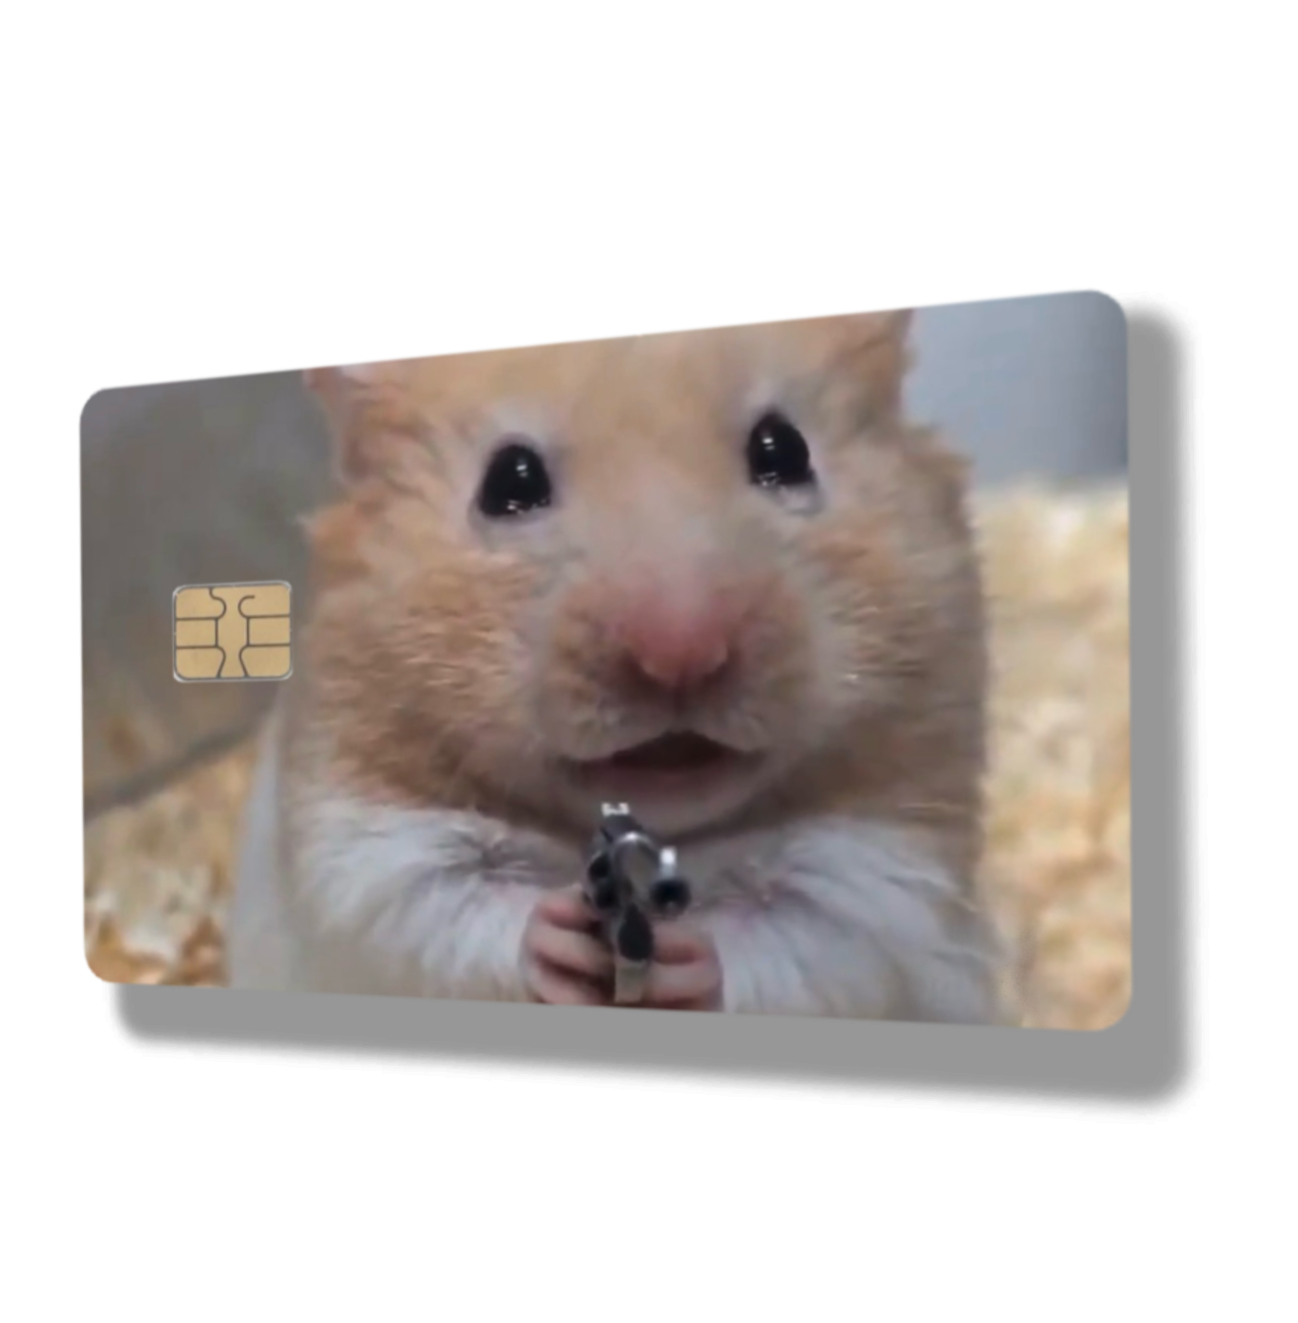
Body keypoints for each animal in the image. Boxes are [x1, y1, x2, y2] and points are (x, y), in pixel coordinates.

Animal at [227, 310, 1007, 1025]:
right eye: (509, 480)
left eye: (783, 449)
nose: (681, 651)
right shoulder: (364, 847)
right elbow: (445, 907)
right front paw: (560, 942)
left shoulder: (884, 877)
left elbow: (792, 939)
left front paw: (687, 958)